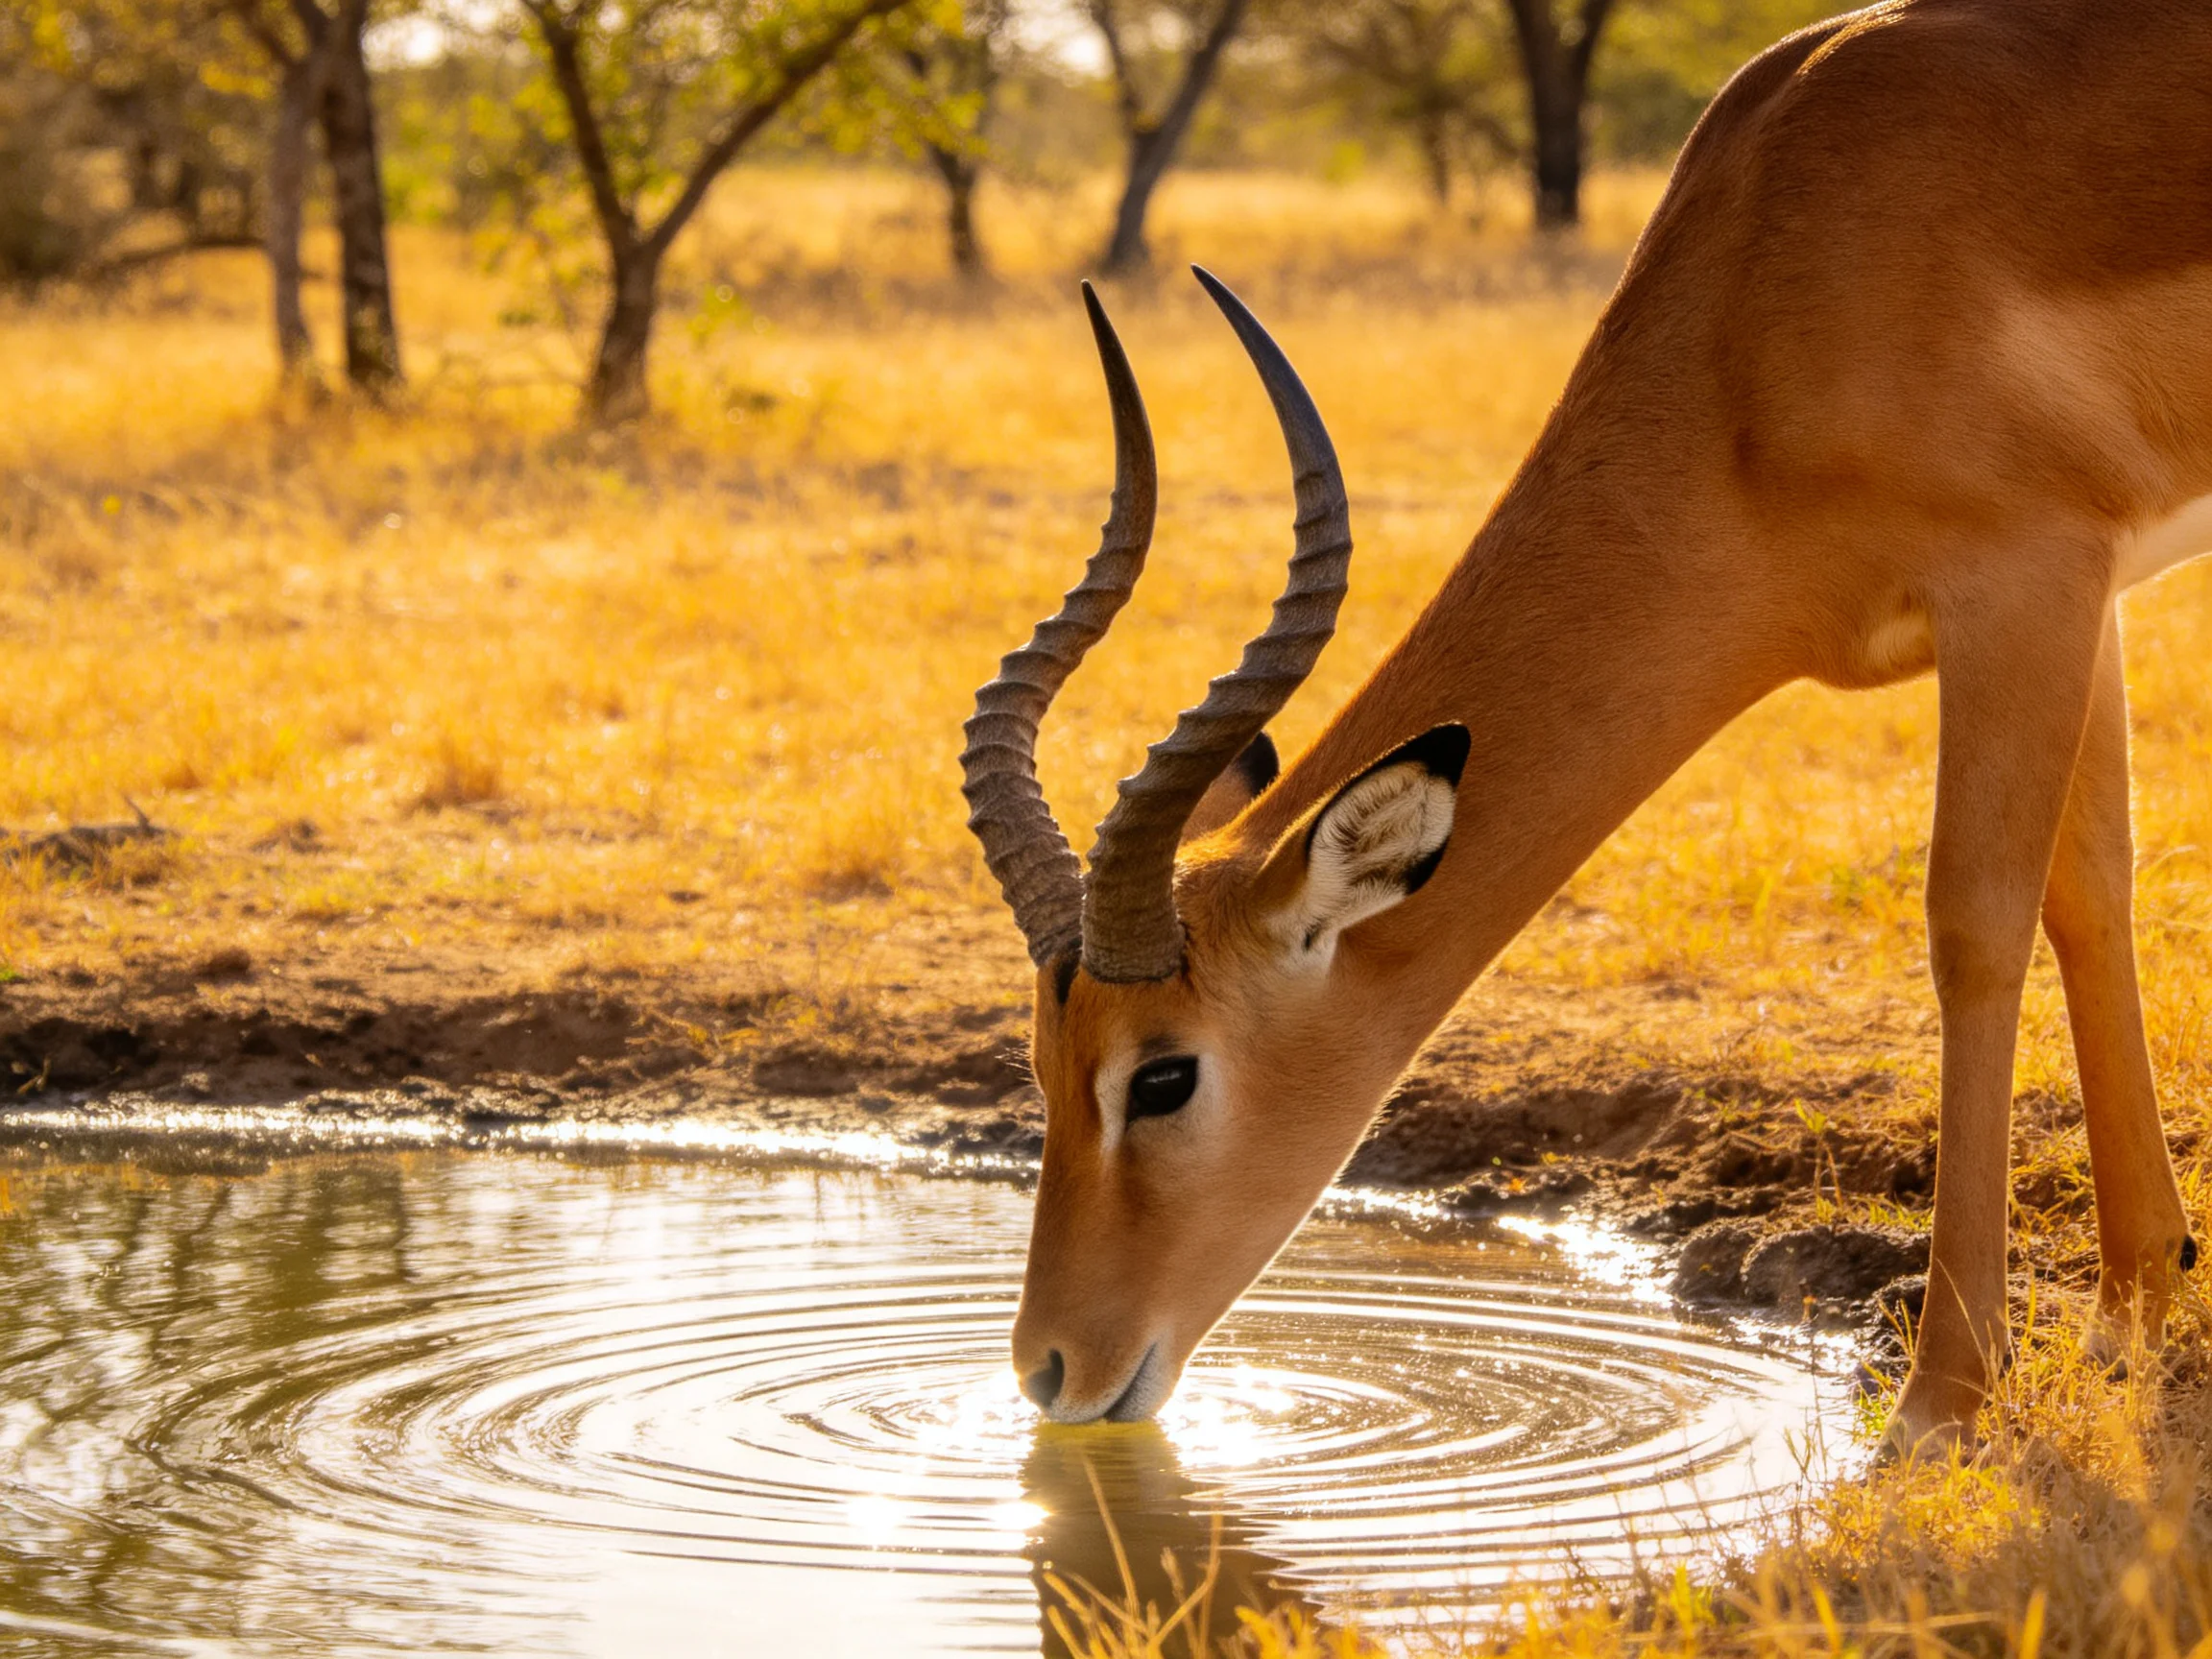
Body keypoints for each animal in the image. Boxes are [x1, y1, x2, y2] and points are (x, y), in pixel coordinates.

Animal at [960, 0, 2212, 1456]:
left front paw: (1939, 1405)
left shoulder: (2022, 579)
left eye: (1164, 1076)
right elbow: (2091, 893)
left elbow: (1975, 926)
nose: (1052, 1370)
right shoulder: (2086, 594)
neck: (1758, 313)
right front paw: (2138, 1313)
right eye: (1042, 1060)